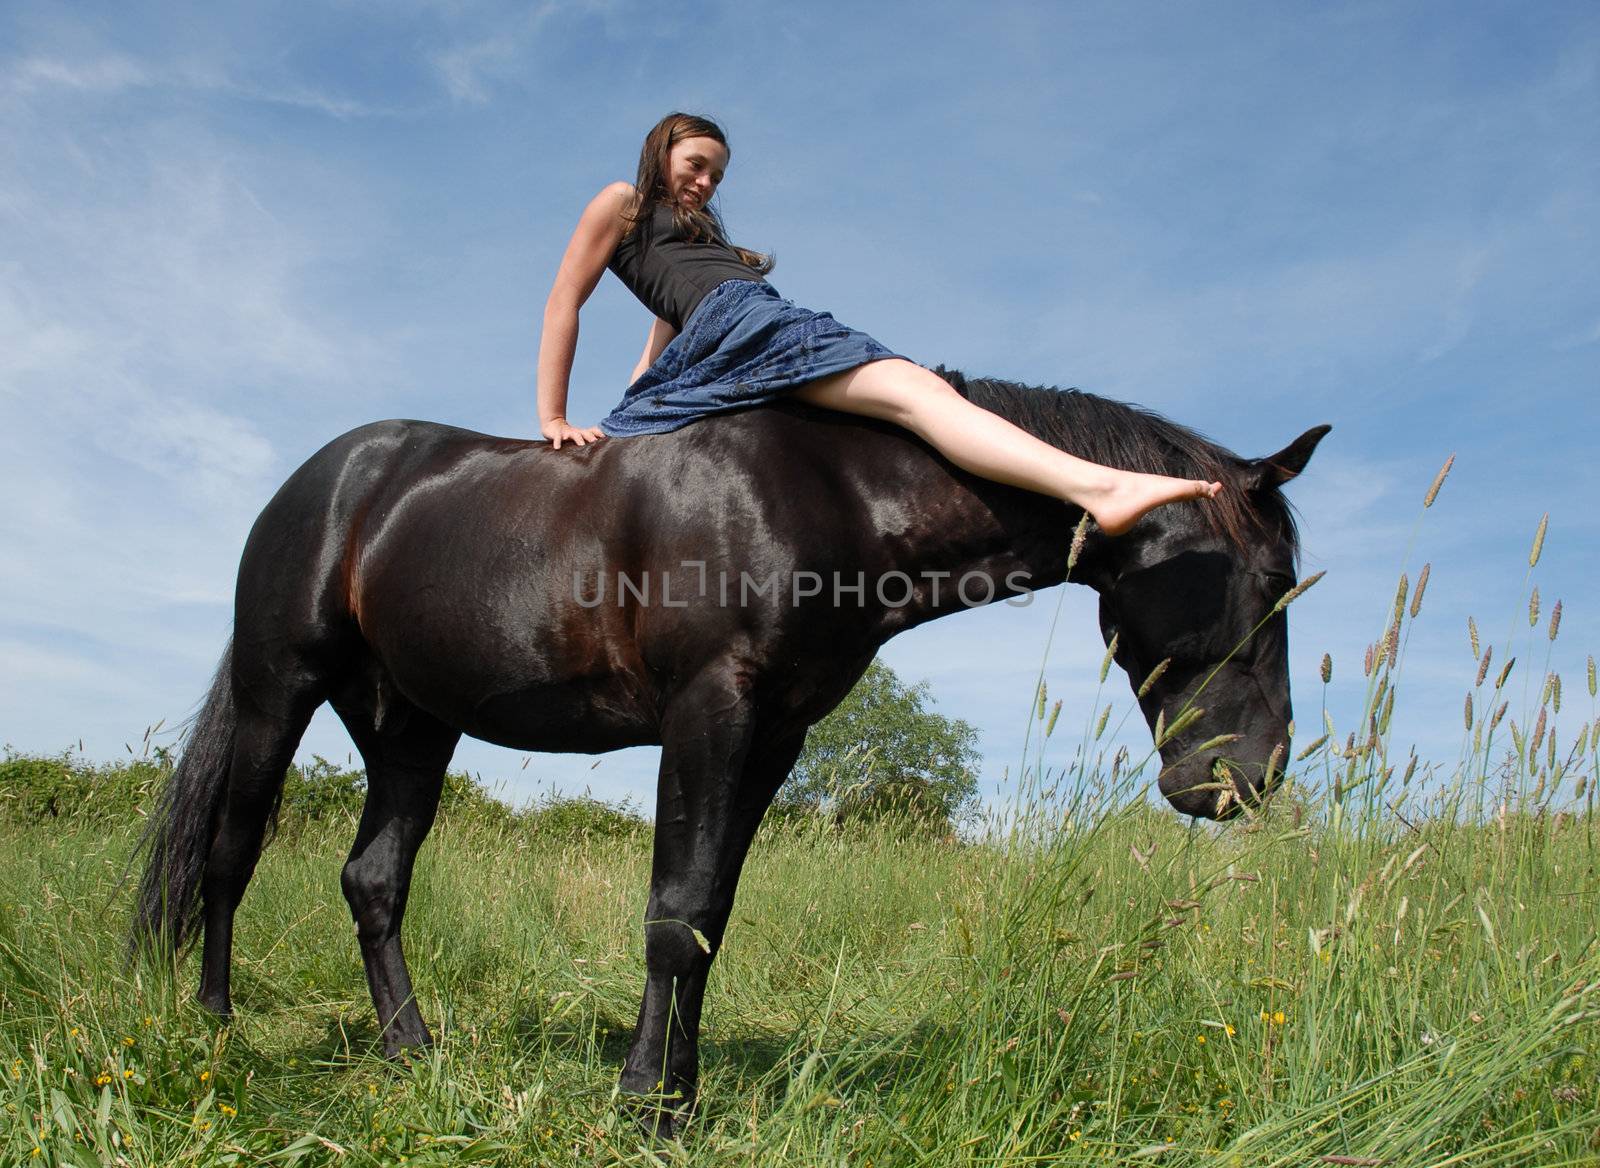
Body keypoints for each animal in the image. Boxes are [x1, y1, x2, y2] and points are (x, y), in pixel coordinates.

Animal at [131, 371, 1324, 1126]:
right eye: (1270, 579)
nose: (1245, 778)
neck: (826, 495)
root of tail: (329, 478)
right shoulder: (709, 710)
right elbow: (673, 912)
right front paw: (648, 1106)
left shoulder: (775, 734)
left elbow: (710, 915)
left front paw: (680, 1091)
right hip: (278, 688)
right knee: (230, 855)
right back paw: (216, 1027)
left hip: (412, 727)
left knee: (372, 880)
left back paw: (412, 1051)